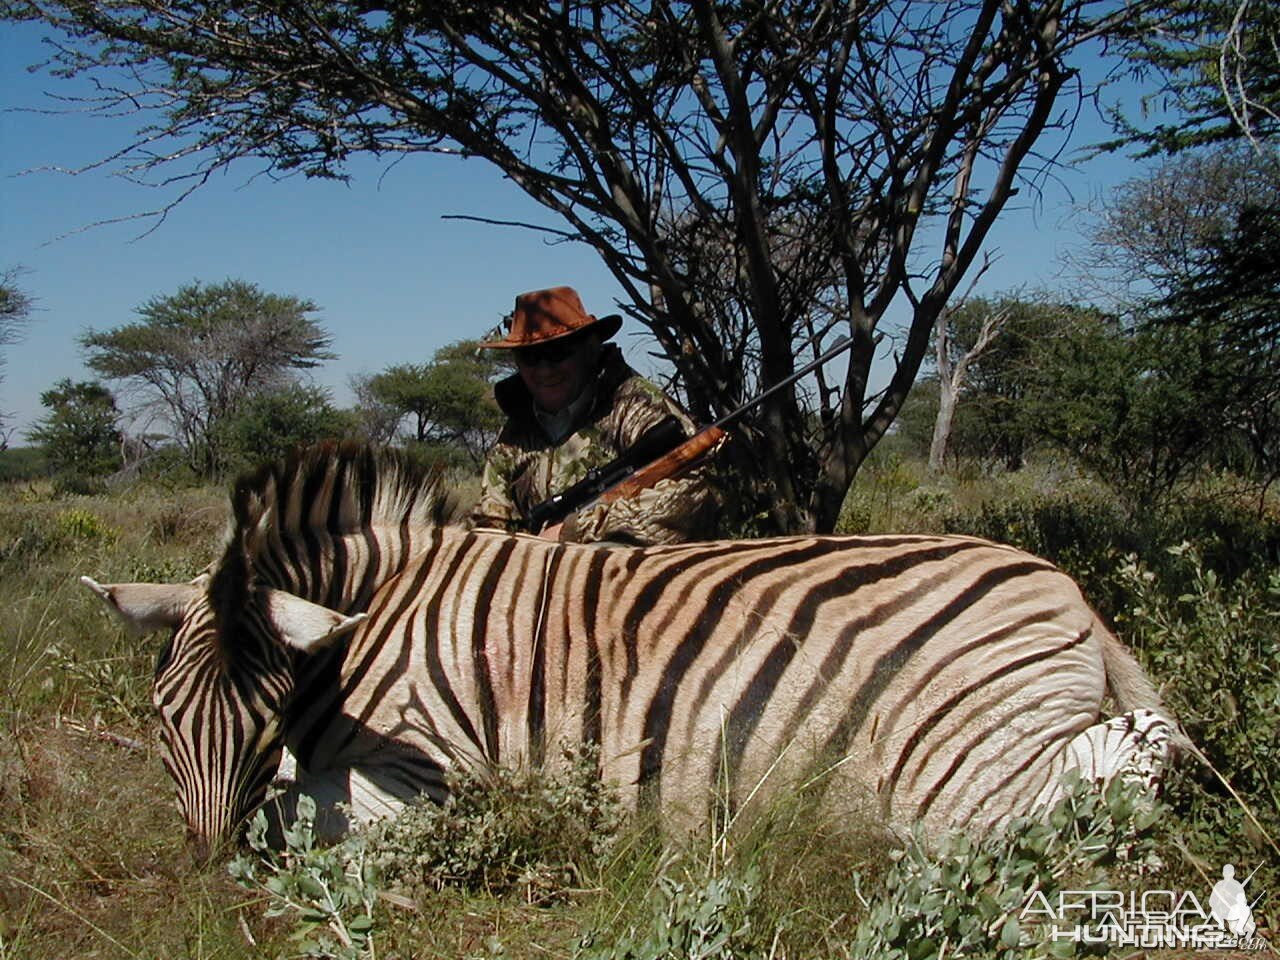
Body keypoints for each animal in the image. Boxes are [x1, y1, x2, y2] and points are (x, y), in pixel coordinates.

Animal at [80, 442, 1177, 855]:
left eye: (264, 722)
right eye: (160, 720)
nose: (206, 869)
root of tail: (1066, 590)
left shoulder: (434, 769)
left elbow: (296, 817)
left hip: (952, 776)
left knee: (1126, 768)